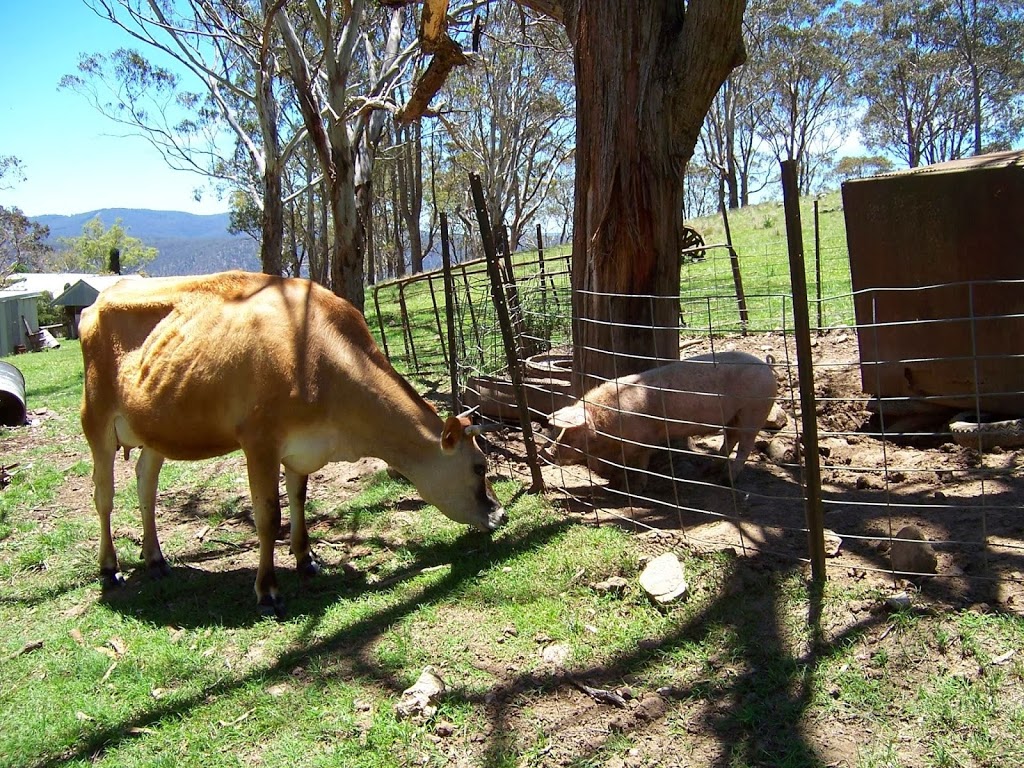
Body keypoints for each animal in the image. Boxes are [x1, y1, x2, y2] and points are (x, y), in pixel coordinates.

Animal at [77, 268, 505, 614]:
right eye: (479, 466)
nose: (500, 514)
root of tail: (100, 299)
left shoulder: (302, 449)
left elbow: (299, 500)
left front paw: (306, 558)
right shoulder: (259, 443)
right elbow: (269, 516)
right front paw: (267, 590)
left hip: (155, 428)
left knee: (145, 483)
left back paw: (155, 558)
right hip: (95, 418)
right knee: (103, 496)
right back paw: (109, 568)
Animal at [544, 354, 774, 487]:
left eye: (572, 433)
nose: (548, 451)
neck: (605, 424)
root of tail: (766, 367)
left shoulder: (640, 441)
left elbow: (637, 462)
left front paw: (634, 485)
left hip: (754, 411)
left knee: (745, 444)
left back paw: (727, 479)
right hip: (734, 415)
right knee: (731, 437)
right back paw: (709, 471)